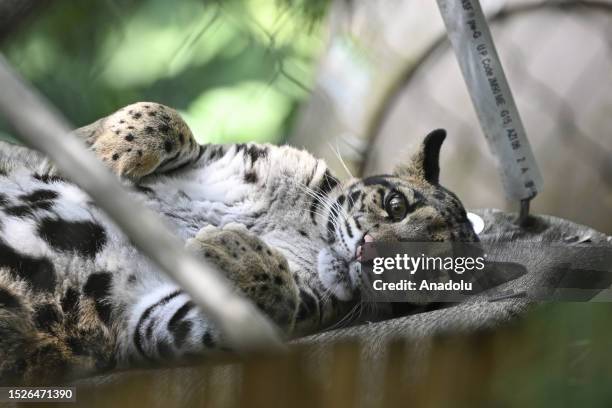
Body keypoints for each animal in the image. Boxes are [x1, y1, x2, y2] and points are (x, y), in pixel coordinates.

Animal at [0, 103, 478, 384]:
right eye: (397, 206)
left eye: (420, 274)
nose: (368, 252)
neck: (302, 230)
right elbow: (166, 117)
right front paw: (102, 150)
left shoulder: (148, 321)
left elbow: (279, 294)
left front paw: (226, 243)